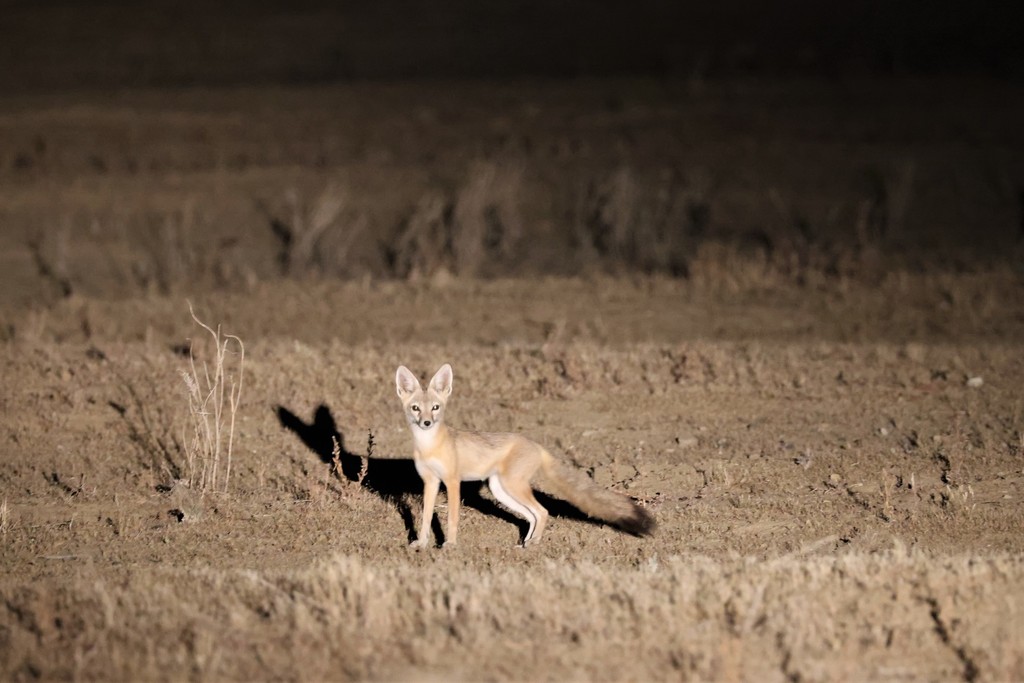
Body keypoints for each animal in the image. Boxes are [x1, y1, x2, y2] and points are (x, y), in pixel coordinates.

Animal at [395, 363, 655, 548]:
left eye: (435, 407)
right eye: (416, 408)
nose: (427, 423)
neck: (430, 446)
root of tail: (536, 444)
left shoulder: (452, 481)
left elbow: (451, 518)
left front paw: (449, 545)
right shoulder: (430, 482)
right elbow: (426, 518)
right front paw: (421, 543)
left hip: (512, 486)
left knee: (542, 511)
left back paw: (533, 543)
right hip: (501, 490)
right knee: (532, 515)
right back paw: (525, 543)